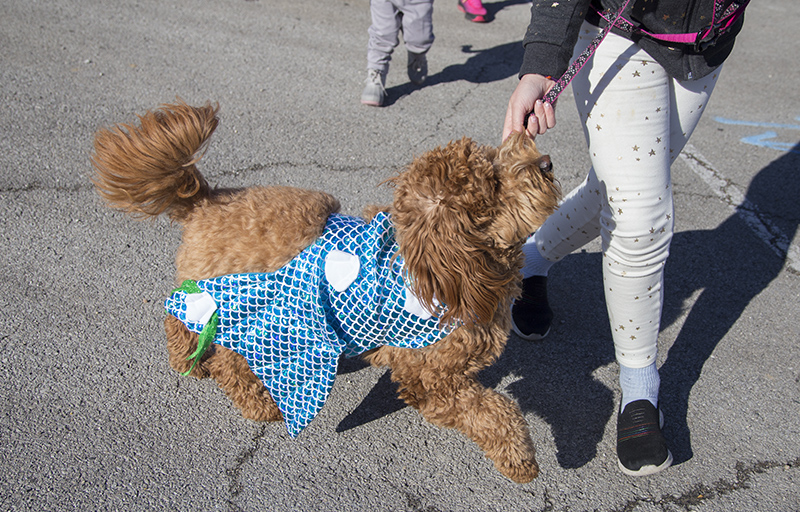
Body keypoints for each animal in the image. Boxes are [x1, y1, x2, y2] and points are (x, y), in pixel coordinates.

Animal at [90, 101, 560, 484]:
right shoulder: (428, 378)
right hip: (256, 308)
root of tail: (205, 201)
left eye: (495, 157)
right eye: (493, 182)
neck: (453, 267)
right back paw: (256, 401)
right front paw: (521, 460)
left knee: (181, 317)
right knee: (225, 355)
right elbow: (494, 412)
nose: (546, 161)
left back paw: (186, 360)